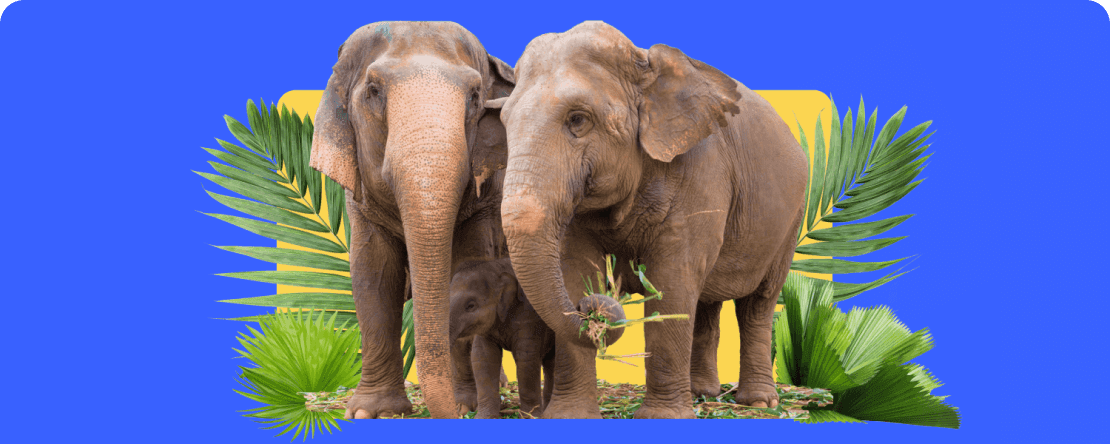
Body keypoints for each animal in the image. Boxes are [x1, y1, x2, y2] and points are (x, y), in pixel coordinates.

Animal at [308, 21, 515, 419]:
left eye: (476, 96)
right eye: (373, 91)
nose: (453, 414)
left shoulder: (487, 196)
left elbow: (467, 265)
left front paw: (465, 403)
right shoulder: (360, 202)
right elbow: (373, 276)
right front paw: (370, 412)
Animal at [448, 258, 555, 418]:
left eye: (471, 306)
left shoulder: (529, 318)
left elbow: (526, 359)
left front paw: (531, 416)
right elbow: (483, 358)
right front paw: (483, 417)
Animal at [494, 21, 809, 418]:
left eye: (577, 119)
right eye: (504, 122)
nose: (595, 311)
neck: (644, 62)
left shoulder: (701, 170)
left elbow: (672, 278)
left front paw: (662, 418)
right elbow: (575, 269)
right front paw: (569, 417)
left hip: (792, 218)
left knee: (759, 302)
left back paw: (758, 402)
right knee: (707, 300)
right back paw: (702, 393)